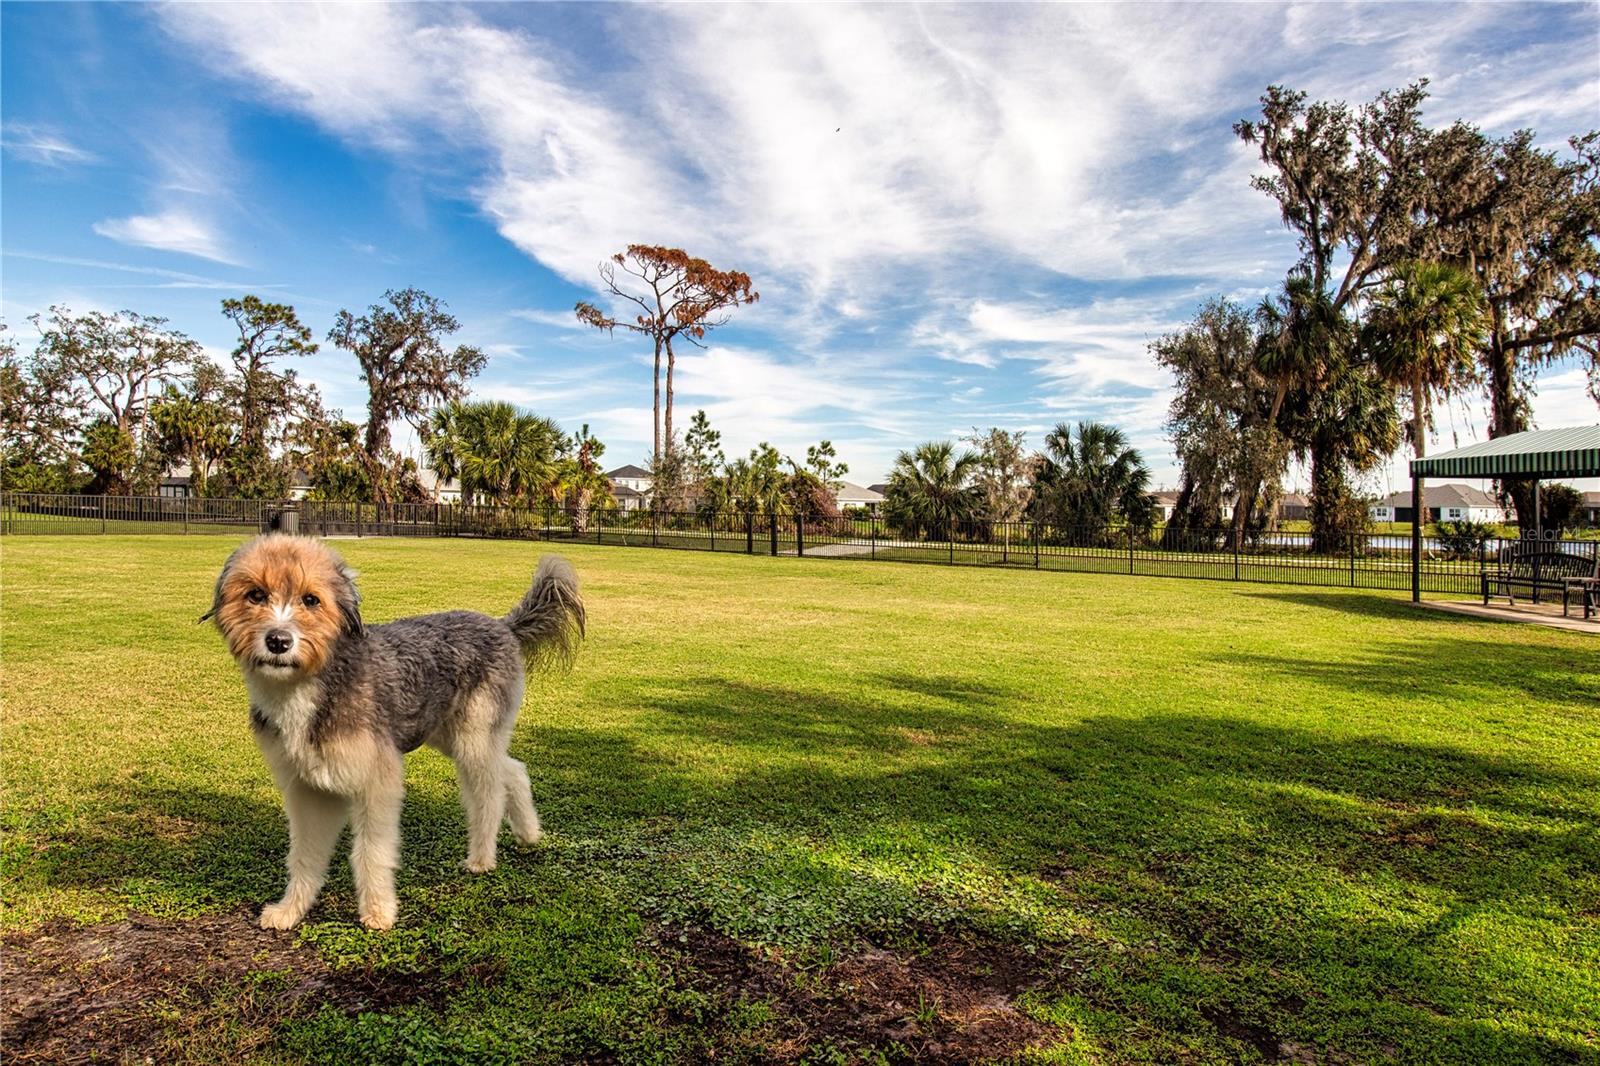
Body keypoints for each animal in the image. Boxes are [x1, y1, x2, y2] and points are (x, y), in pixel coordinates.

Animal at [203, 534, 585, 928]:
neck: (313, 682)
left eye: (311, 599)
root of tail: (503, 626)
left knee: (488, 797)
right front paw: (290, 910)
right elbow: (304, 856)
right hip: (449, 733)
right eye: (256, 595)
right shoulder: (309, 790)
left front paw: (378, 912)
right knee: (513, 769)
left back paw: (481, 858)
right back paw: (529, 832)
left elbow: (371, 853)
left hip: (472, 740)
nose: (278, 641)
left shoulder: (377, 781)